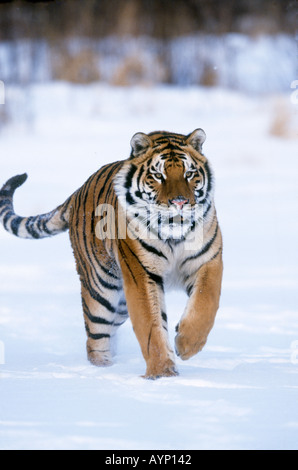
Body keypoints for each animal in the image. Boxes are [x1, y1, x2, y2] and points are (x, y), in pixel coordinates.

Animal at [0, 129, 222, 378]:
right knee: (95, 337)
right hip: (101, 289)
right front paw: (162, 373)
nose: (180, 202)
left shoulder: (208, 261)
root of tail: (77, 193)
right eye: (158, 175)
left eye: (189, 174)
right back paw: (102, 371)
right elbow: (151, 326)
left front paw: (186, 345)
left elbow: (205, 302)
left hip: (121, 302)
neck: (174, 234)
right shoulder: (142, 274)